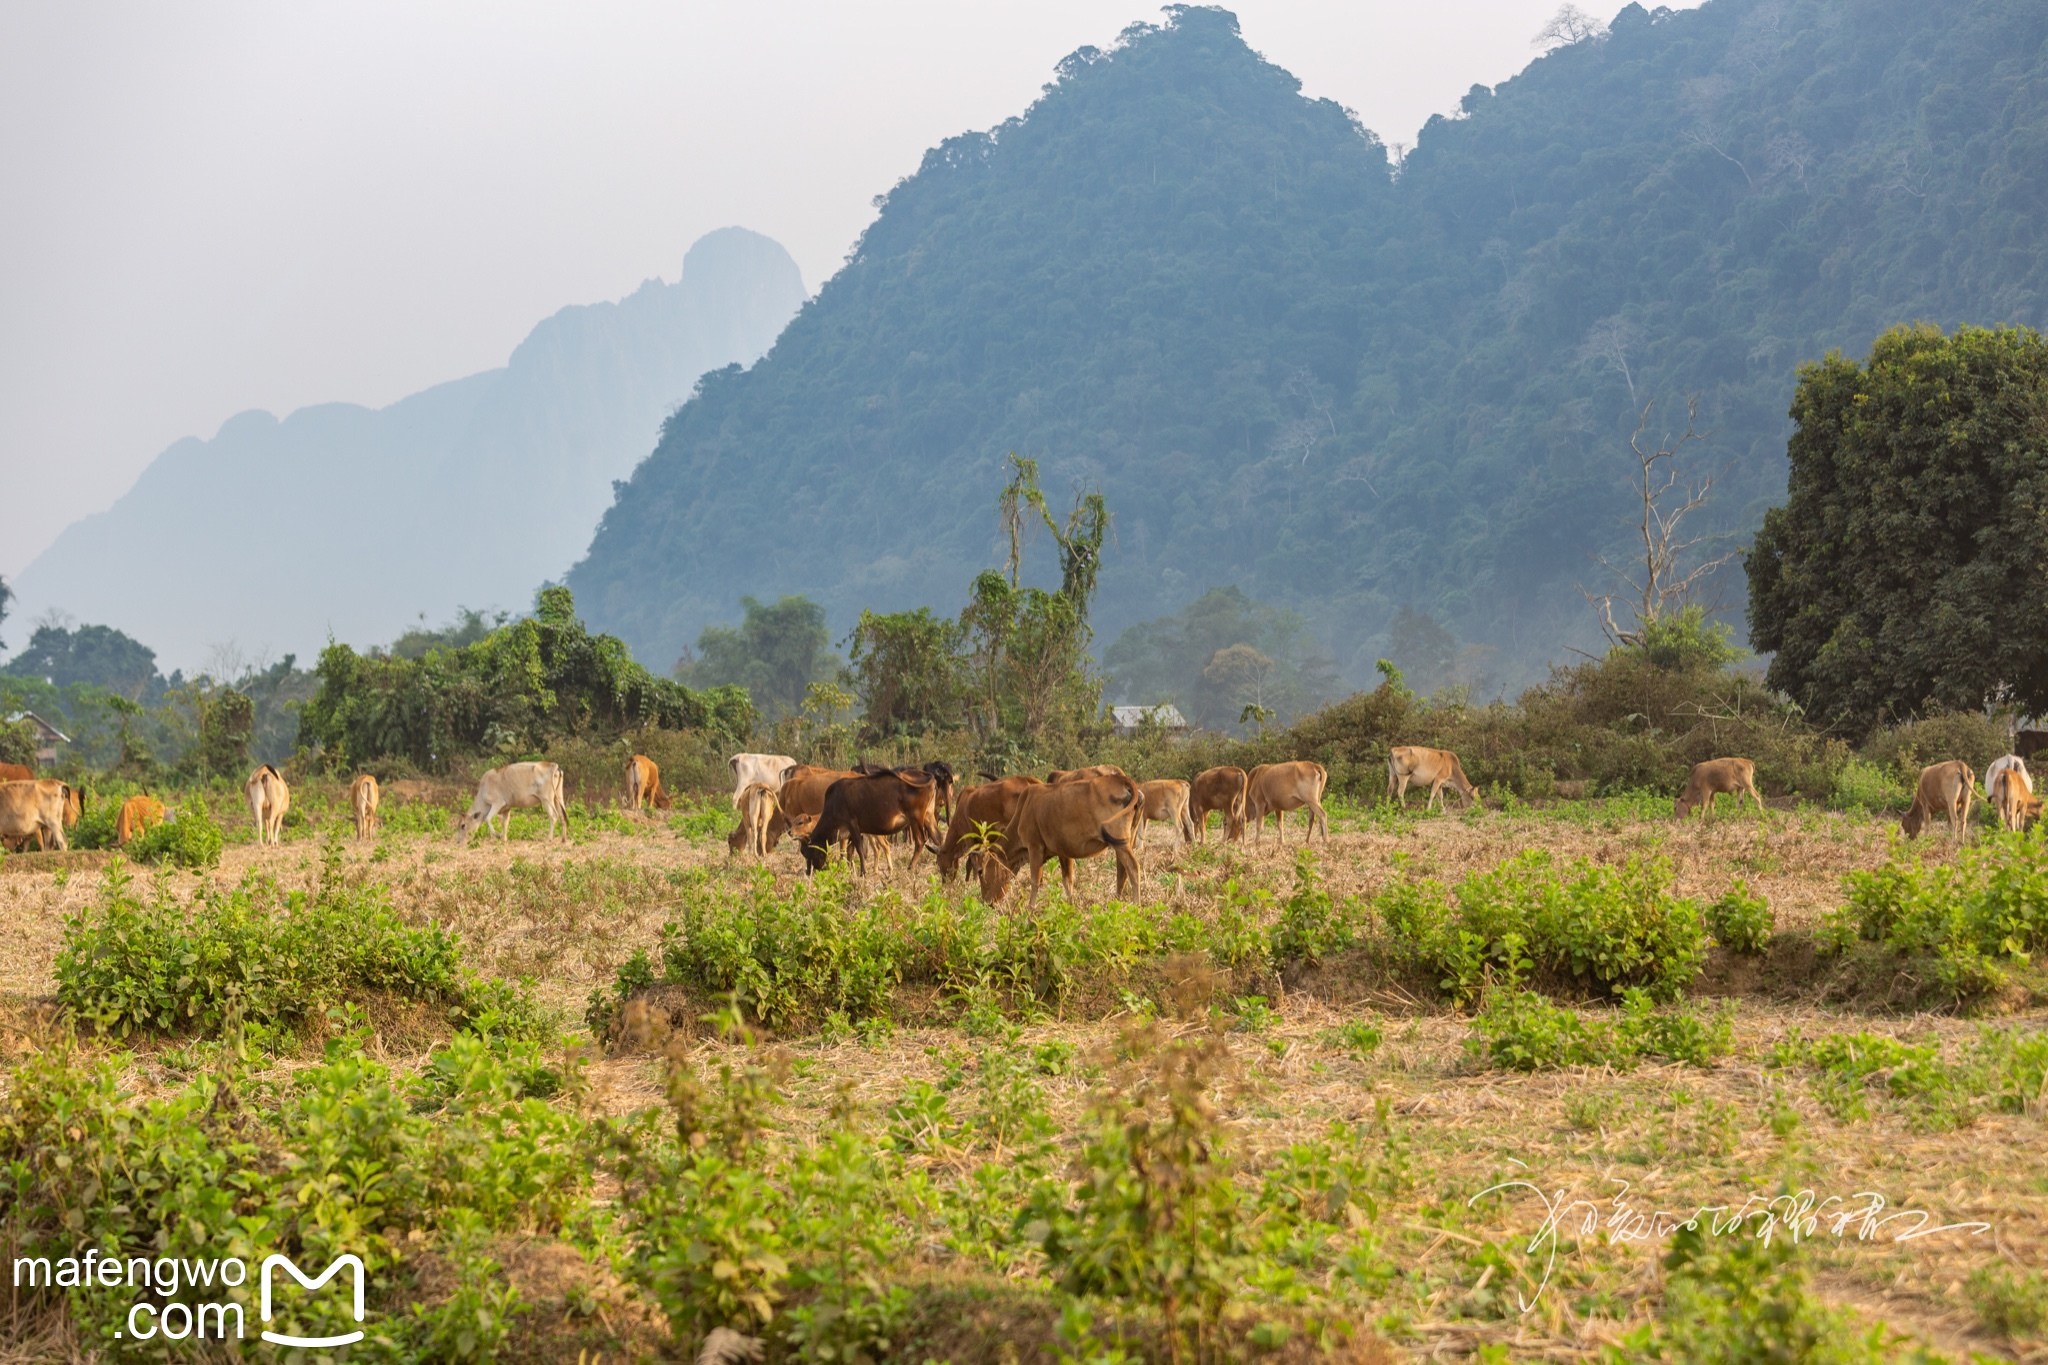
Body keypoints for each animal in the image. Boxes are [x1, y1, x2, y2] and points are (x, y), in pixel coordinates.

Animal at [794, 769, 937, 875]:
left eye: (806, 851)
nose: (809, 871)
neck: (833, 802)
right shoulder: (851, 832)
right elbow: (850, 851)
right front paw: (849, 869)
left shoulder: (852, 824)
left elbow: (858, 848)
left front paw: (863, 872)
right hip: (928, 817)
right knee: (938, 837)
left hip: (916, 819)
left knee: (920, 841)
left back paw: (910, 867)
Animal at [983, 769, 1146, 908]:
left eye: (981, 873)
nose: (988, 903)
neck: (1023, 808)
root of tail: (1123, 780)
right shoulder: (1063, 852)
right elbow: (1068, 881)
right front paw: (1070, 905)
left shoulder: (1034, 846)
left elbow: (1035, 881)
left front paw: (1030, 908)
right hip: (1125, 841)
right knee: (1122, 871)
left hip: (1119, 842)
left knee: (1133, 867)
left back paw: (1136, 905)